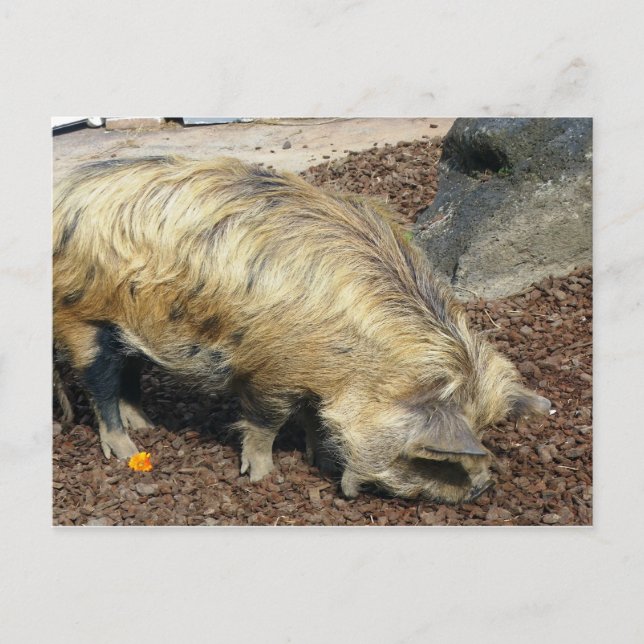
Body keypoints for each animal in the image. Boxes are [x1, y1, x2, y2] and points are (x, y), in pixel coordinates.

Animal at [53, 156, 550, 503]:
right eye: (433, 458)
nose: (484, 488)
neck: (360, 362)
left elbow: (313, 418)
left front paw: (315, 458)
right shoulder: (269, 370)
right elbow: (265, 423)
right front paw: (262, 475)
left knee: (128, 369)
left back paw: (147, 424)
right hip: (83, 318)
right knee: (98, 383)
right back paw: (125, 448)